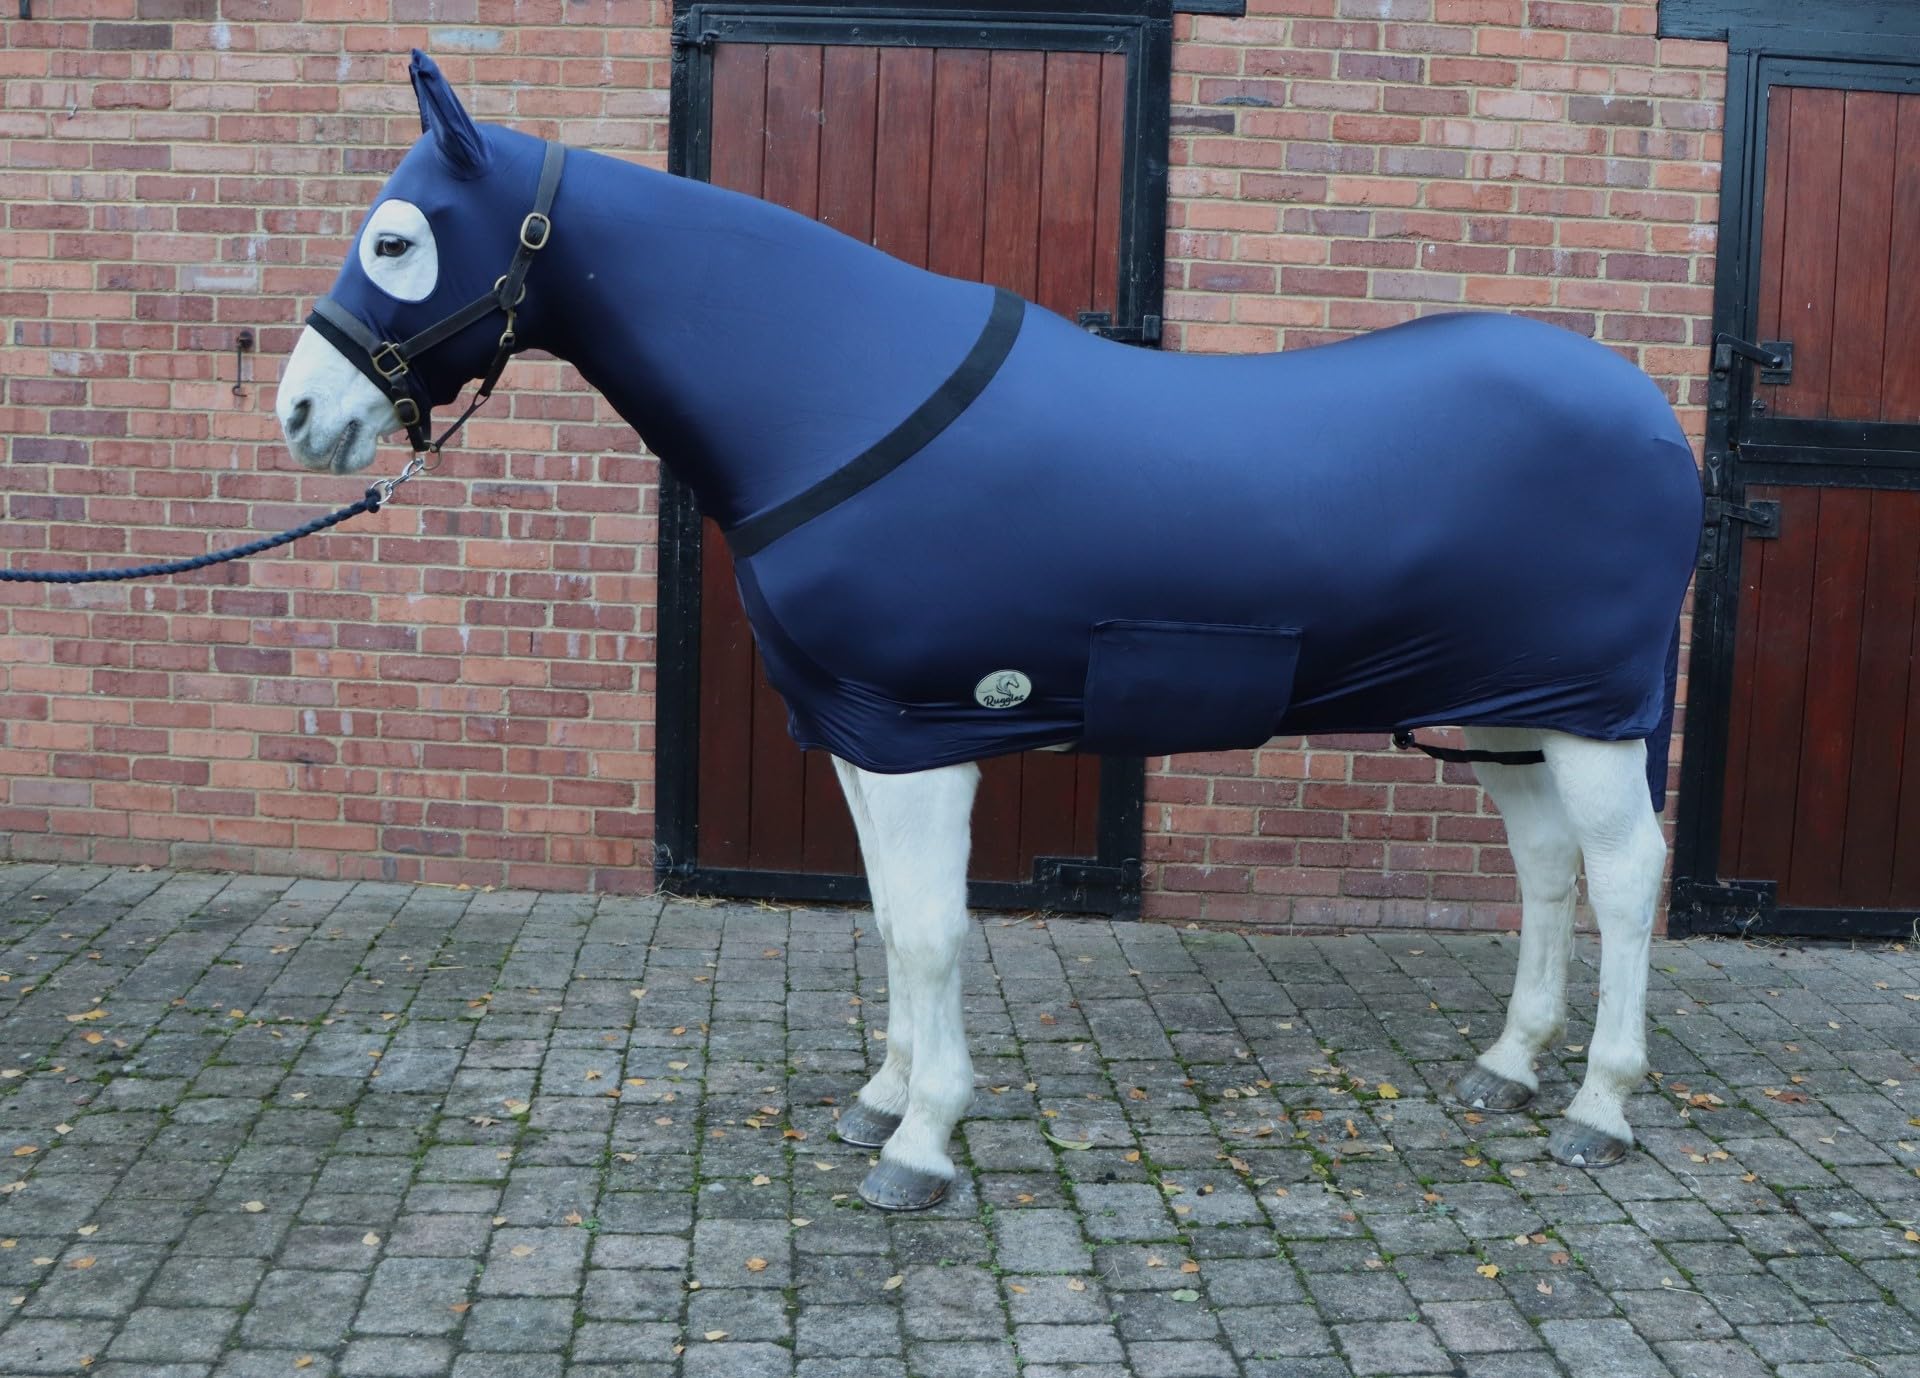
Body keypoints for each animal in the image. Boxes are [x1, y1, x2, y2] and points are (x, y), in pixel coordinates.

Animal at [277, 51, 1704, 1211]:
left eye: (397, 241)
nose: (302, 415)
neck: (842, 390)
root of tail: (1649, 411)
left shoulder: (930, 730)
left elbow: (929, 929)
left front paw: (922, 1145)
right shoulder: (864, 734)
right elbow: (887, 918)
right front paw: (882, 1101)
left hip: (1591, 714)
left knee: (1627, 873)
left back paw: (1599, 1107)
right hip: (1514, 709)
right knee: (1546, 867)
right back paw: (1510, 1066)